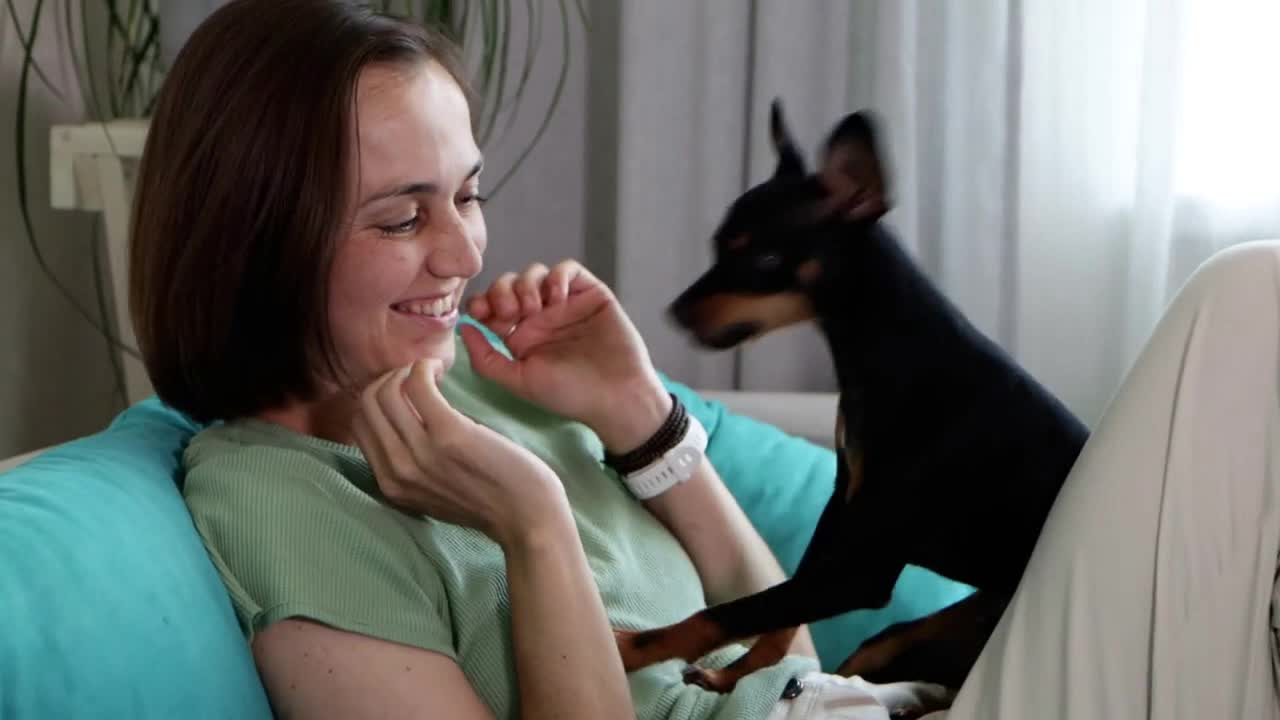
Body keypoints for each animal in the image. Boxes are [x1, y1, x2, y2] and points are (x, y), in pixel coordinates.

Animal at [611, 98, 1090, 691]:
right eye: (717, 247)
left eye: (766, 261)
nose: (675, 313)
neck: (891, 347)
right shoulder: (842, 508)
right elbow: (778, 613)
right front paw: (735, 679)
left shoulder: (862, 570)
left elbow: (728, 613)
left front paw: (629, 649)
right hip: (896, 640)